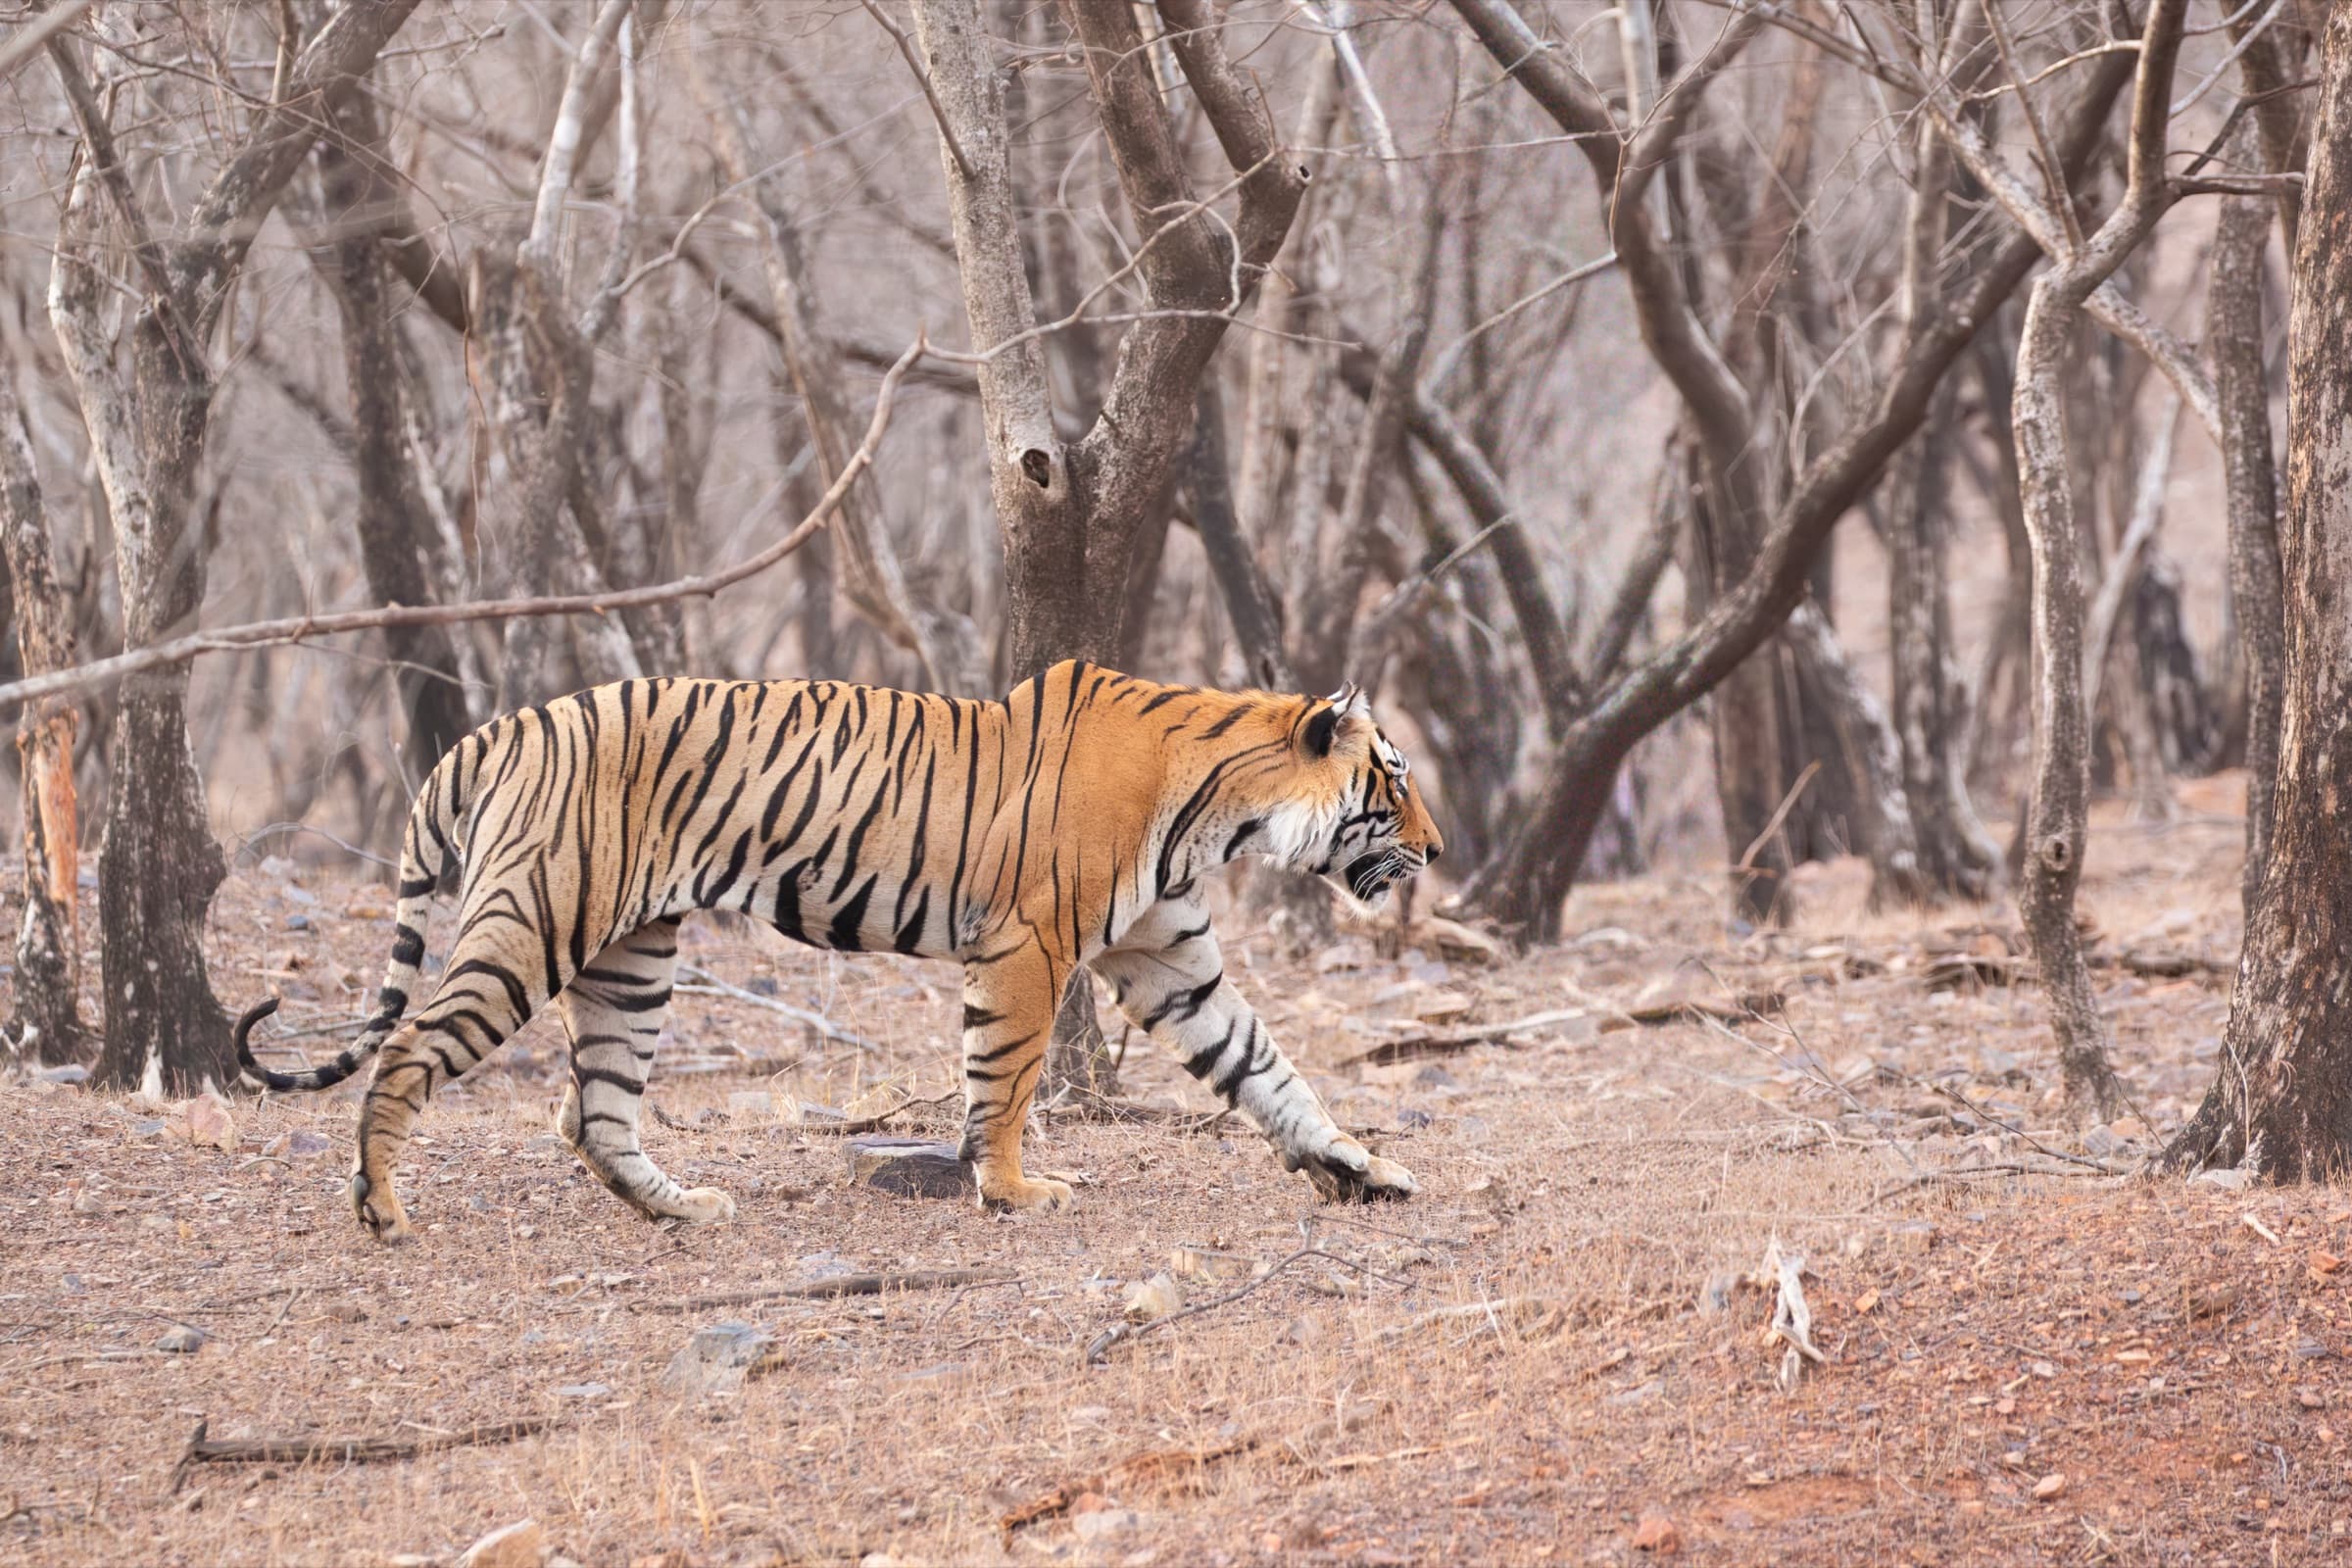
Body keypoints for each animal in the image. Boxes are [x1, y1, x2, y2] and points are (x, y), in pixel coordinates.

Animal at [234, 659, 1443, 1244]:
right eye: (1393, 784)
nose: (1436, 849)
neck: (1221, 809)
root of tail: (494, 729)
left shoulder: (1169, 956)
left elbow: (1268, 1068)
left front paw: (1360, 1168)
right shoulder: (1027, 945)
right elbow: (1004, 1078)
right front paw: (1012, 1190)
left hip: (632, 957)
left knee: (594, 1112)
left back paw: (683, 1208)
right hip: (531, 926)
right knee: (409, 1052)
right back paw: (382, 1211)